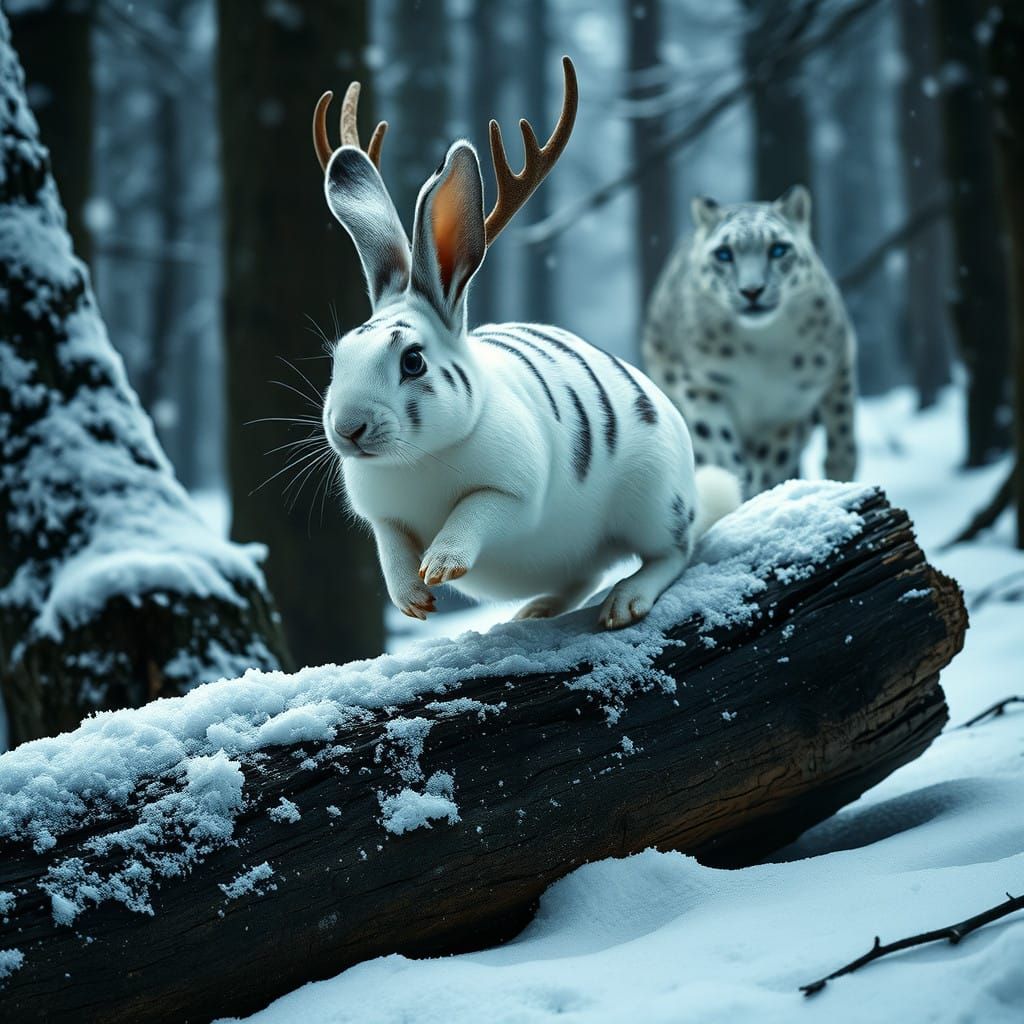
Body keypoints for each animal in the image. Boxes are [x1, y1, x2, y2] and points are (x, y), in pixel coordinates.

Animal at [313, 59, 741, 630]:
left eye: (413, 360)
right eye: (338, 357)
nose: (348, 429)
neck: (416, 460)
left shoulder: (512, 492)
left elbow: (475, 510)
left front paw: (442, 563)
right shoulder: (382, 518)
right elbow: (391, 549)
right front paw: (412, 597)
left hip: (652, 501)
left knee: (673, 552)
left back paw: (625, 602)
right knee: (582, 572)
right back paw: (534, 611)